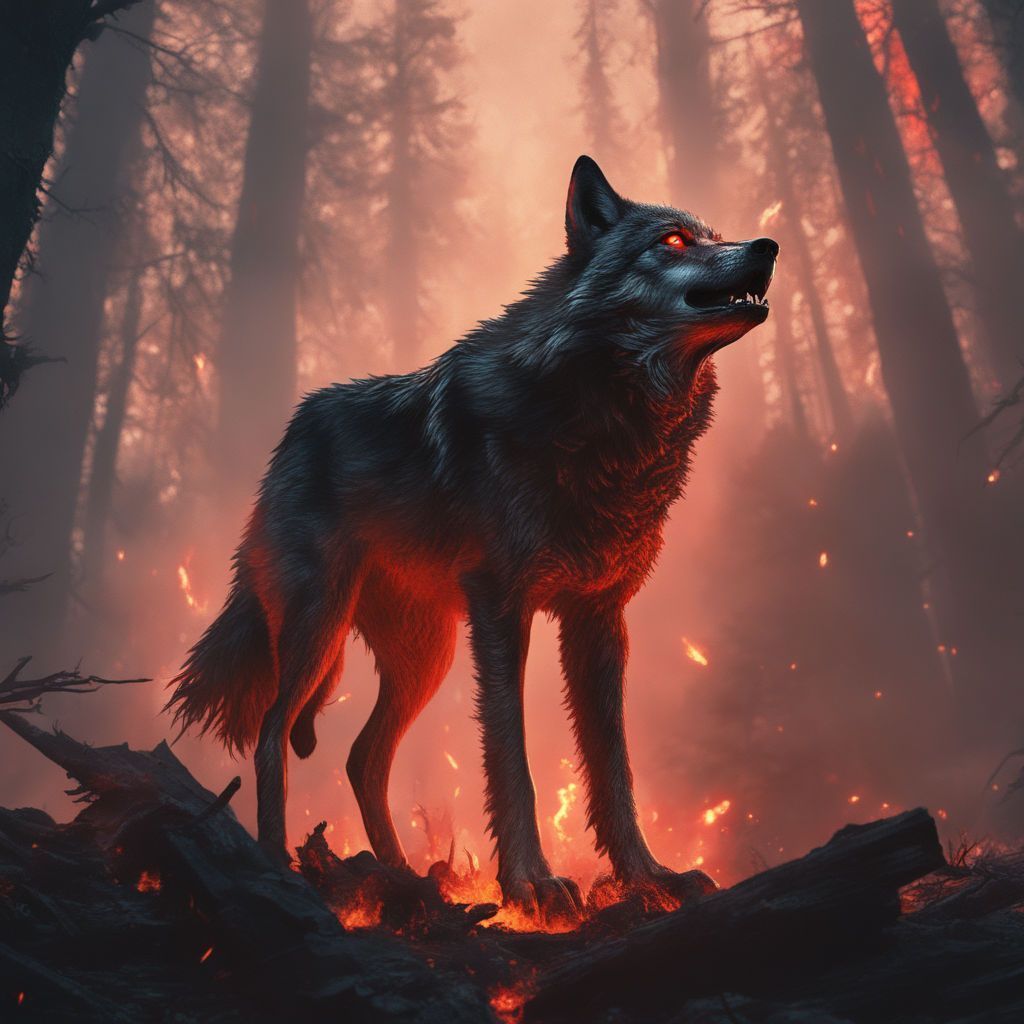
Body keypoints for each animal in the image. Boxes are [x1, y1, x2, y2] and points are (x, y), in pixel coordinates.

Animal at [168, 156, 777, 918]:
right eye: (672, 241)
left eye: (715, 235)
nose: (768, 246)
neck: (603, 416)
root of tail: (287, 437)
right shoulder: (500, 608)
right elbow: (512, 758)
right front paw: (533, 885)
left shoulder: (599, 618)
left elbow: (614, 769)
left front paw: (649, 878)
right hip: (321, 630)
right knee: (273, 734)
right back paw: (282, 866)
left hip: (424, 656)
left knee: (361, 757)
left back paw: (400, 877)